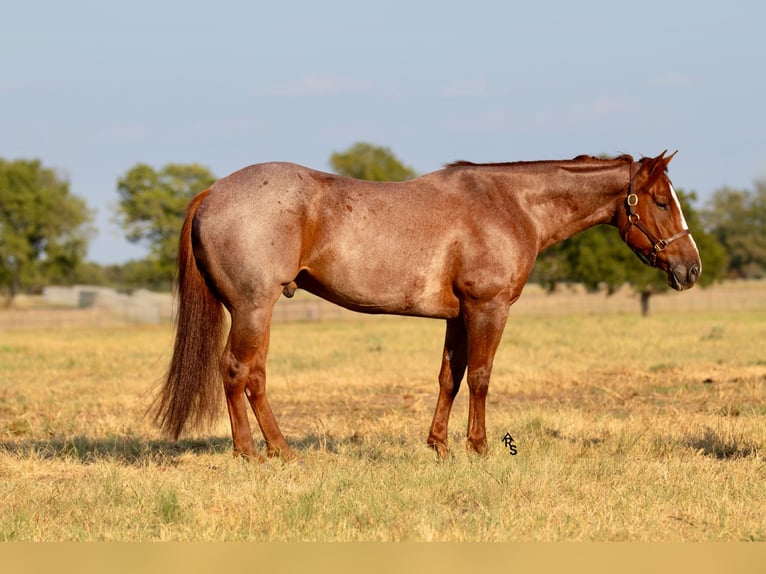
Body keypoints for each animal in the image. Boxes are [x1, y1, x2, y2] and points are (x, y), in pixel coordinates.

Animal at [153, 152, 704, 464]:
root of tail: (214, 192)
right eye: (660, 201)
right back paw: (261, 453)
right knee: (240, 372)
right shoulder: (488, 309)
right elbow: (480, 377)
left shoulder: (459, 316)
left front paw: (439, 445)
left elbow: (449, 378)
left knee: (252, 375)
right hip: (253, 308)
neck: (512, 205)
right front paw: (480, 448)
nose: (691, 268)